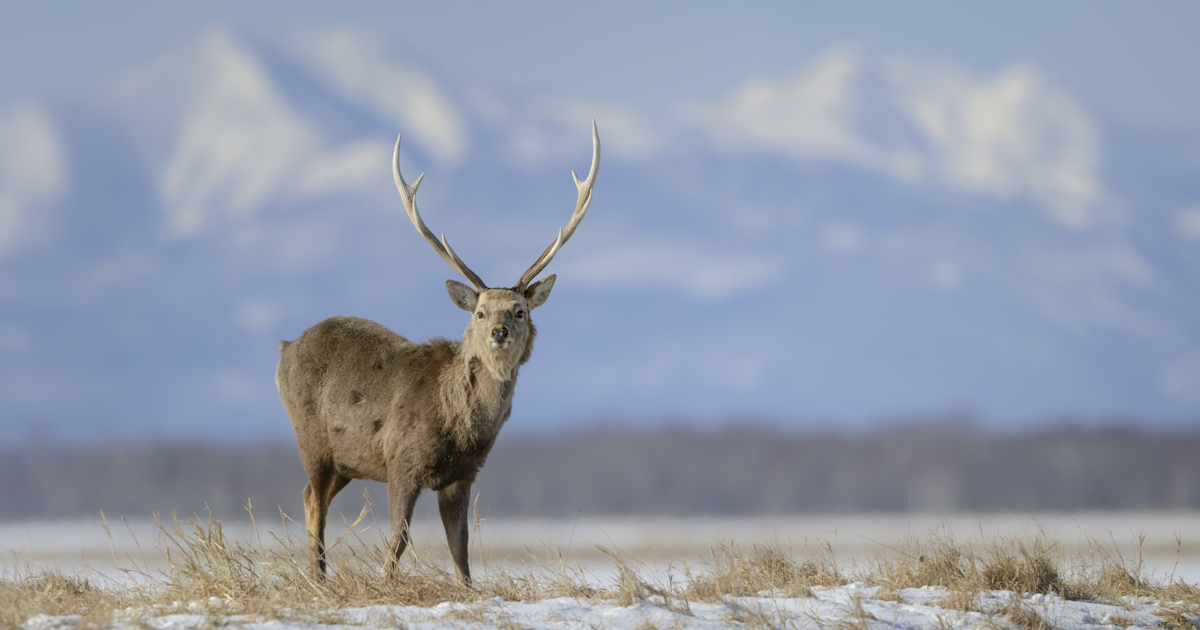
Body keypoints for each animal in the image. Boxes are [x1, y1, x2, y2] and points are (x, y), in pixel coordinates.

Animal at [276, 122, 599, 584]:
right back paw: (318, 578)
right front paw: (384, 584)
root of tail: (284, 349)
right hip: (311, 437)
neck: (459, 427)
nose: (499, 331)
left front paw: (466, 588)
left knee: (308, 496)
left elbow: (461, 549)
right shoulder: (401, 462)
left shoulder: (462, 476)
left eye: (519, 309)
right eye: (480, 312)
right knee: (314, 499)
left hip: (346, 460)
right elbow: (398, 540)